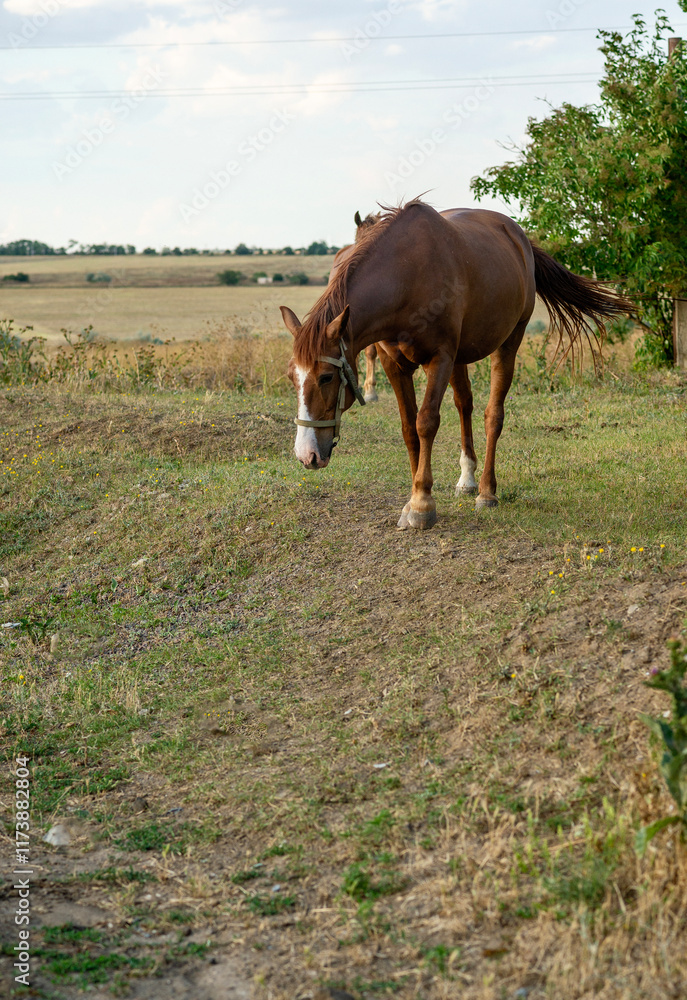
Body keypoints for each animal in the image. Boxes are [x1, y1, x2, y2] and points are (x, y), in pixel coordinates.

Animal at [280, 199, 632, 530]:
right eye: (292, 378)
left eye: (326, 377)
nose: (306, 455)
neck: (406, 275)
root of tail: (520, 238)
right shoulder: (395, 365)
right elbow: (409, 428)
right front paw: (412, 498)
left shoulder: (440, 358)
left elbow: (426, 422)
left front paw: (422, 505)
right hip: (461, 359)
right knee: (465, 403)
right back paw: (468, 478)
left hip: (508, 342)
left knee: (493, 415)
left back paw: (487, 491)